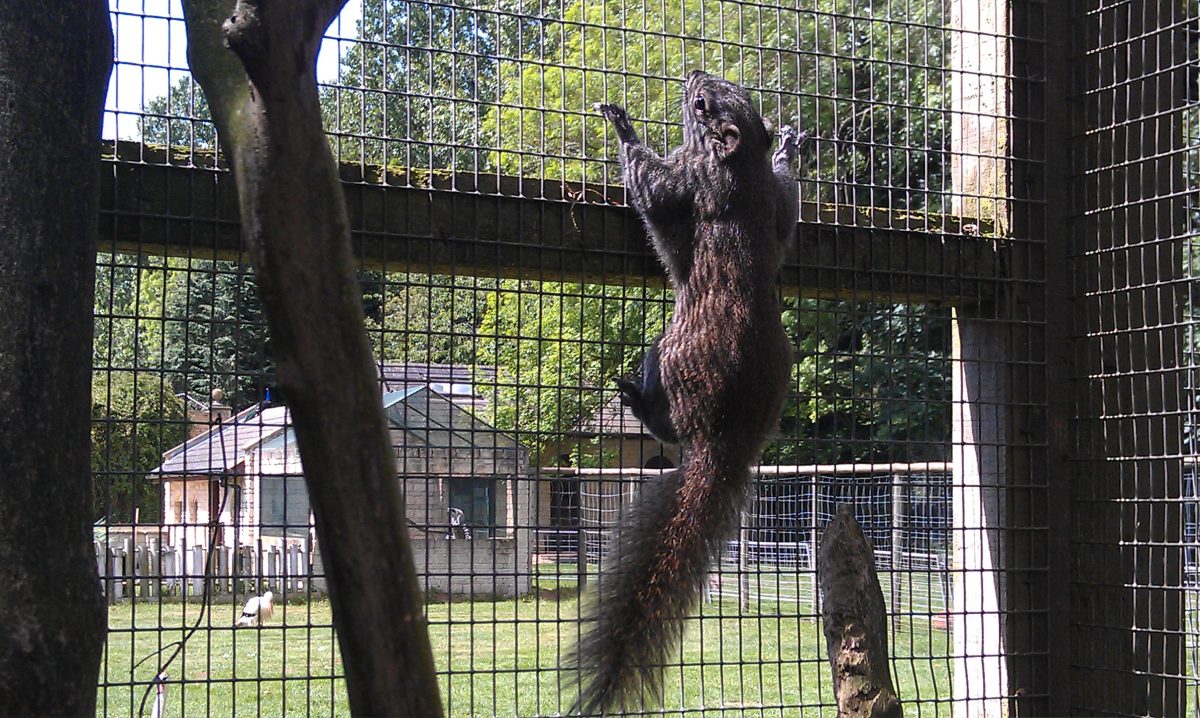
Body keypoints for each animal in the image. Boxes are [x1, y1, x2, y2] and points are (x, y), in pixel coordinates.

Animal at [570, 70, 802, 716]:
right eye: (724, 88)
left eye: (703, 103)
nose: (695, 74)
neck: (738, 170)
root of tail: (728, 438)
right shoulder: (775, 207)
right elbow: (790, 207)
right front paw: (788, 148)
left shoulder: (687, 184)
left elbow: (651, 188)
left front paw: (621, 122)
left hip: (667, 357)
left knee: (663, 416)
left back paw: (636, 397)